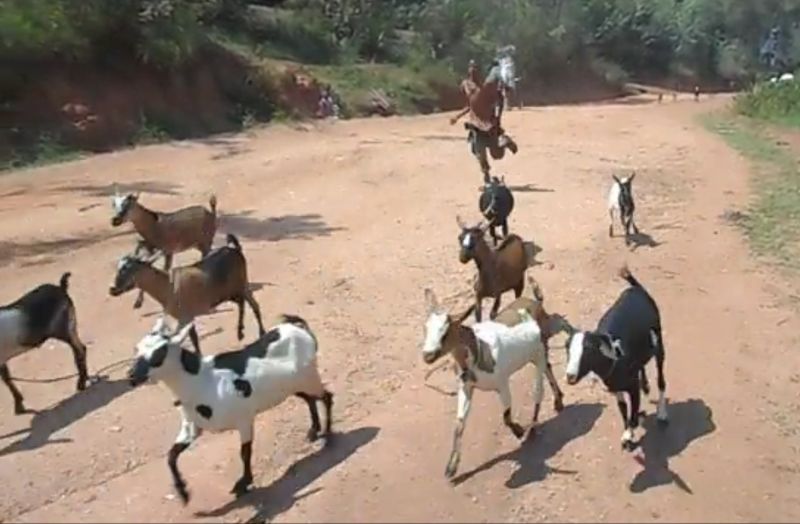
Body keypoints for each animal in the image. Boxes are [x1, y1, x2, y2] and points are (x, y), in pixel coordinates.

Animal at [0, 273, 88, 414]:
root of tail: (61, 287)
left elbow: (6, 380)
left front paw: (19, 407)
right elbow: (7, 378)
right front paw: (19, 406)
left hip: (64, 328)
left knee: (79, 350)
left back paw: (81, 384)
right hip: (69, 327)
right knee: (81, 348)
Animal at [109, 233, 265, 354]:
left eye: (128, 269)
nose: (112, 289)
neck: (169, 286)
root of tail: (234, 249)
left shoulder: (186, 316)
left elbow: (193, 339)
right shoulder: (184, 318)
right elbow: (192, 338)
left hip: (238, 286)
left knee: (246, 303)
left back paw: (248, 333)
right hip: (234, 289)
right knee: (250, 304)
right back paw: (252, 333)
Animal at [128, 314, 333, 504]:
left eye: (159, 354)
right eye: (137, 349)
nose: (131, 376)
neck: (200, 381)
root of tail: (299, 328)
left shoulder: (244, 420)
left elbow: (244, 453)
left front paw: (243, 483)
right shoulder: (192, 427)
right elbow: (171, 456)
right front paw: (183, 492)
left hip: (309, 379)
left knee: (326, 397)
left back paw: (328, 435)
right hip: (295, 385)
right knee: (310, 400)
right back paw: (313, 430)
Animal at [422, 287, 560, 479]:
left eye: (445, 332)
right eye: (426, 328)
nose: (427, 355)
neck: (480, 349)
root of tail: (537, 303)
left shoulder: (502, 384)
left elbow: (506, 416)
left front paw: (519, 431)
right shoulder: (466, 387)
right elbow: (459, 424)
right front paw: (451, 467)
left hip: (540, 352)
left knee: (539, 388)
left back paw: (533, 428)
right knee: (549, 369)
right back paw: (559, 401)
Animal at [563, 265, 668, 451]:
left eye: (588, 350)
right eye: (567, 349)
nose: (570, 376)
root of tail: (636, 288)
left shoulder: (632, 388)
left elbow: (633, 414)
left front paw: (630, 433)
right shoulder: (615, 388)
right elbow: (623, 409)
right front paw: (627, 433)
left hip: (659, 347)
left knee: (661, 379)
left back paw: (662, 412)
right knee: (642, 366)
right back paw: (646, 386)